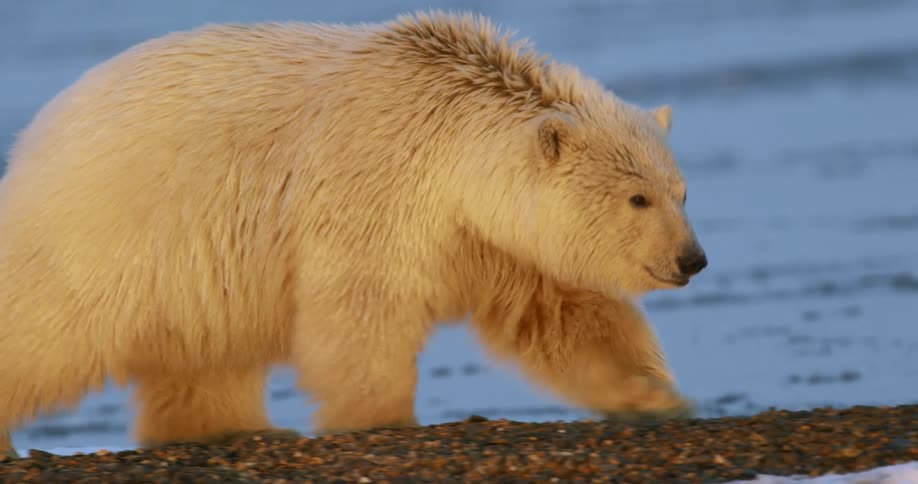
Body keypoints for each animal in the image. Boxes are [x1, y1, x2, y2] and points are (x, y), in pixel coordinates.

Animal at [0, 10, 707, 458]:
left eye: (681, 192)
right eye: (637, 197)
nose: (691, 259)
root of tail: (36, 135)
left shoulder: (491, 240)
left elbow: (564, 314)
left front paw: (653, 395)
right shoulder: (373, 183)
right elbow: (362, 307)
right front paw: (381, 418)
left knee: (209, 358)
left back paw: (235, 431)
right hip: (106, 235)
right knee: (44, 328)